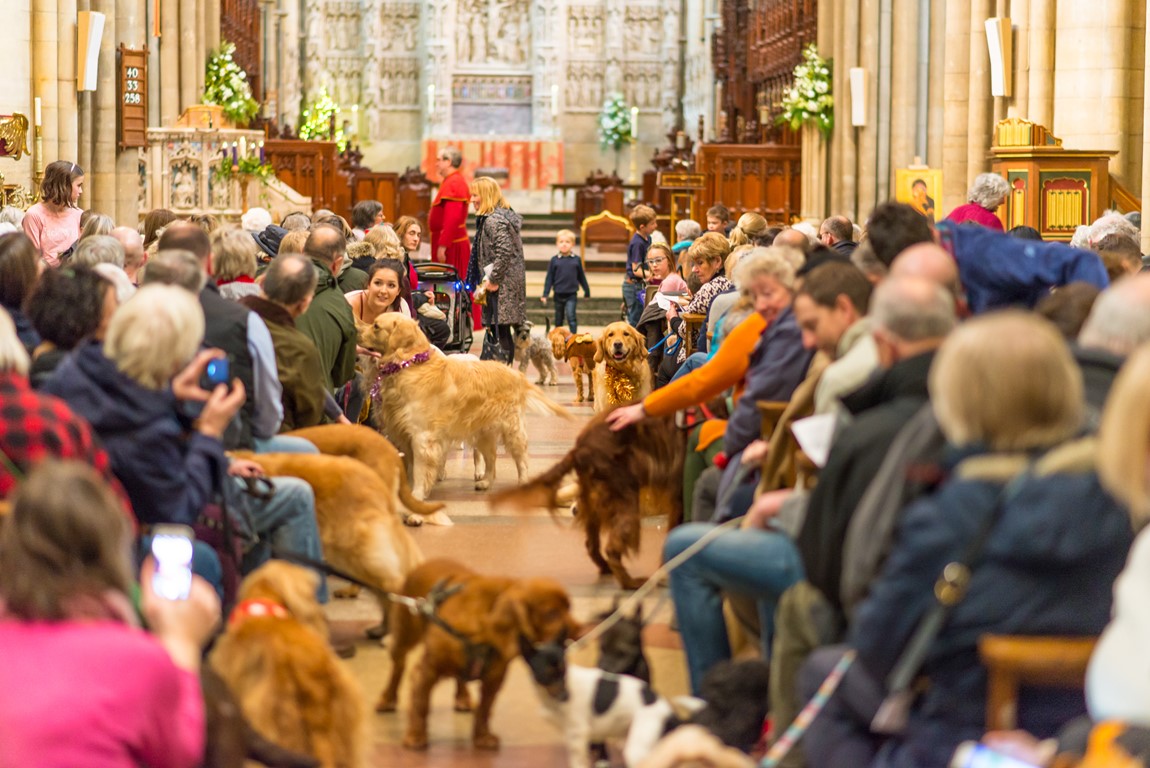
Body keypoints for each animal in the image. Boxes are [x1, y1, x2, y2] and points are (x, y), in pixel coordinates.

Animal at [358, 312, 570, 498]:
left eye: (376, 326)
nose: (357, 328)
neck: (410, 364)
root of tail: (515, 373)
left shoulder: (422, 437)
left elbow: (419, 471)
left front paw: (417, 498)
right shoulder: (404, 435)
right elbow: (410, 470)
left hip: (512, 429)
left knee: (522, 458)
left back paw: (523, 482)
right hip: (484, 431)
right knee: (491, 459)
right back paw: (486, 482)